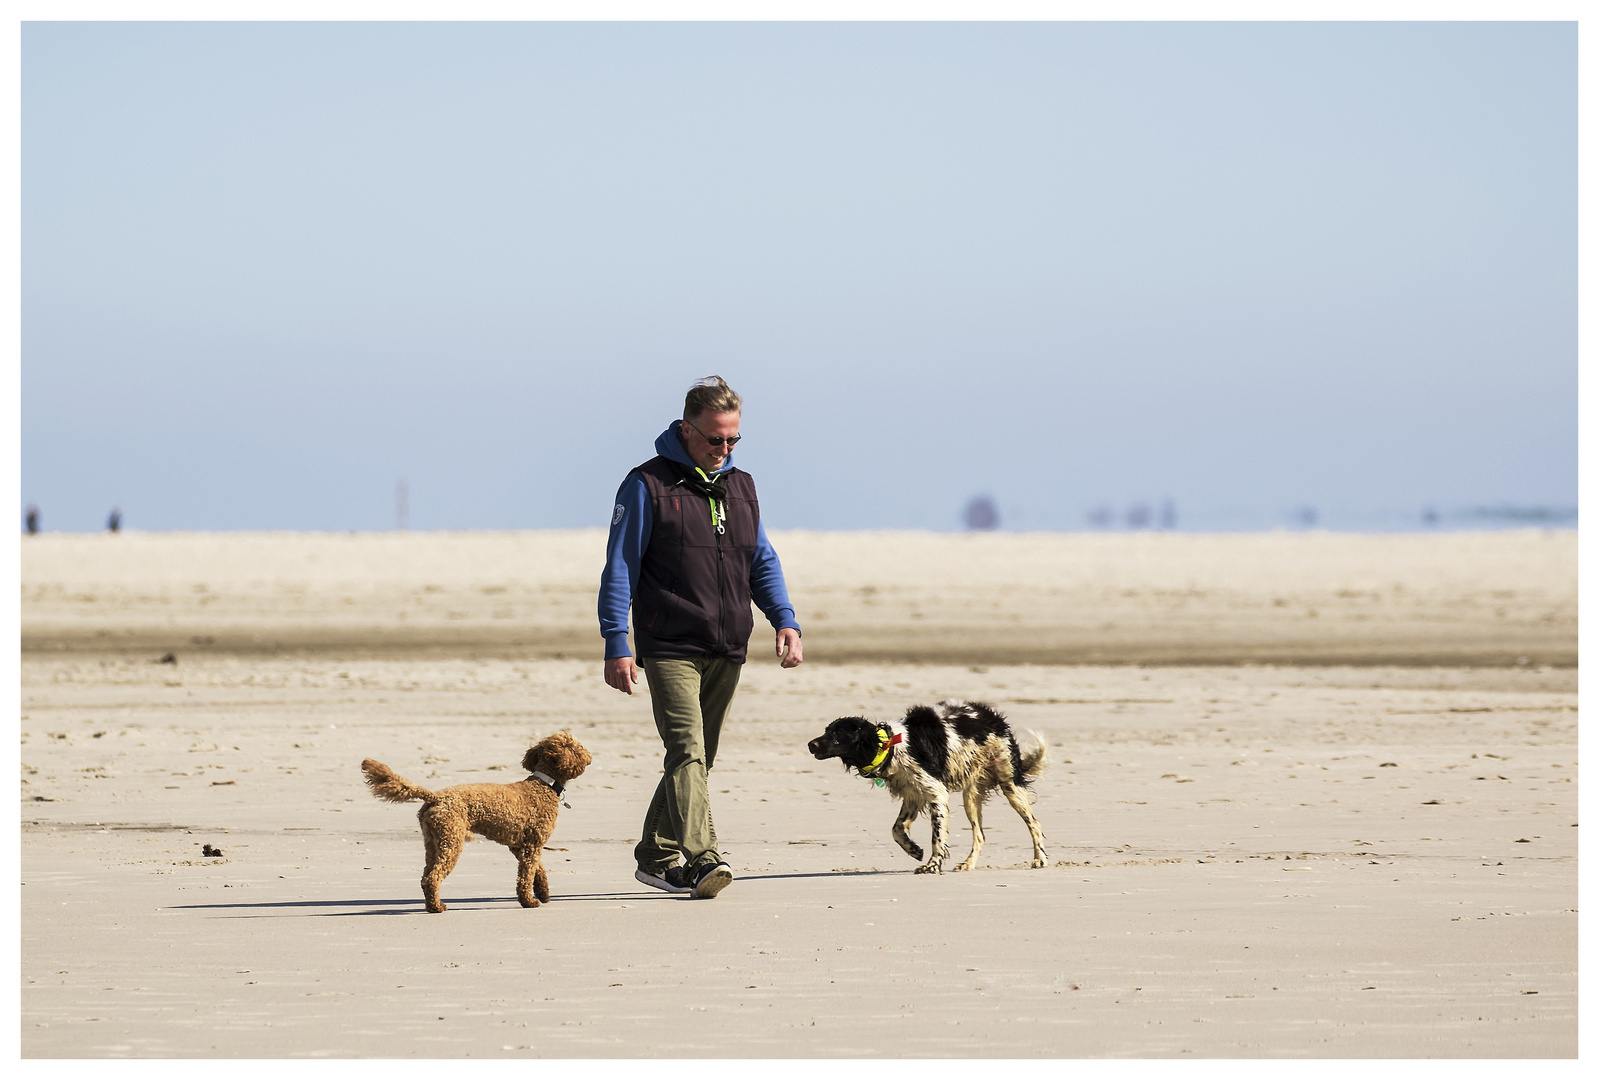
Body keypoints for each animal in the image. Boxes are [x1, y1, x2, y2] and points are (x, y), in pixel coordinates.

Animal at [359, 729, 591, 915]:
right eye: (577, 747)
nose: (589, 756)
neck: (545, 785)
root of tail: (435, 797)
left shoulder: (520, 845)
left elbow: (537, 870)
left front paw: (543, 893)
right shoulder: (533, 844)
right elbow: (526, 875)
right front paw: (529, 901)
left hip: (432, 842)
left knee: (425, 876)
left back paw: (432, 905)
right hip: (452, 841)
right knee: (433, 877)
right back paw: (437, 908)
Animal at [812, 704, 1048, 876]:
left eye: (837, 734)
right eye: (826, 731)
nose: (810, 745)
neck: (891, 746)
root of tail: (995, 719)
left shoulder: (936, 793)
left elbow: (937, 838)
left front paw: (932, 866)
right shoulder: (913, 794)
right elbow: (897, 829)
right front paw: (914, 850)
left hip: (1010, 784)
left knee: (1034, 824)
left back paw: (1040, 859)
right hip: (971, 796)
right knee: (980, 835)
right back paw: (968, 864)